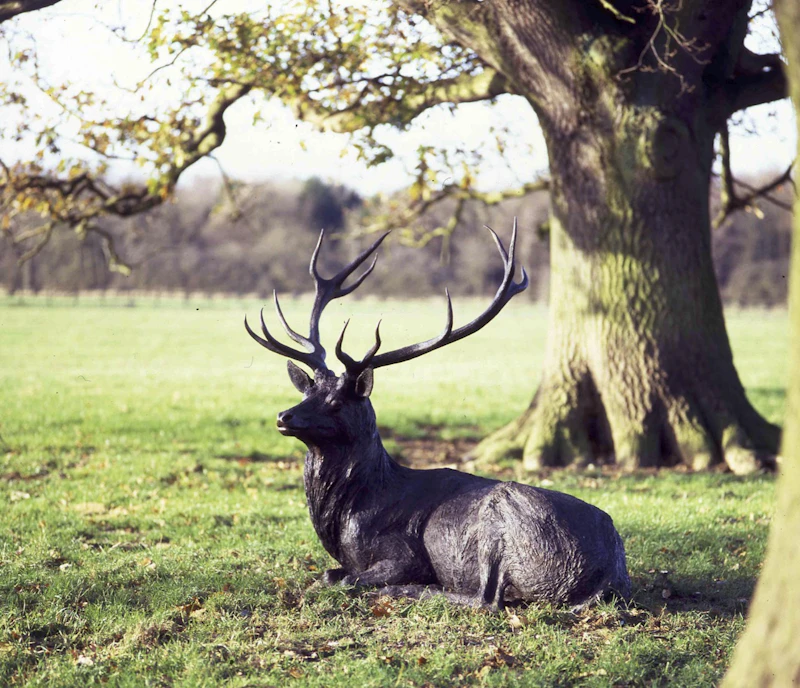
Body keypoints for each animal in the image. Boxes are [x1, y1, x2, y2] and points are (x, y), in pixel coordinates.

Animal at [245, 221, 631, 610]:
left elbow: (339, 579)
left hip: (500, 526)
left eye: (337, 402)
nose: (284, 416)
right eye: (307, 392)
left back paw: (409, 591)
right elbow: (330, 573)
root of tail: (609, 576)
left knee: (487, 599)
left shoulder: (404, 553)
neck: (348, 517)